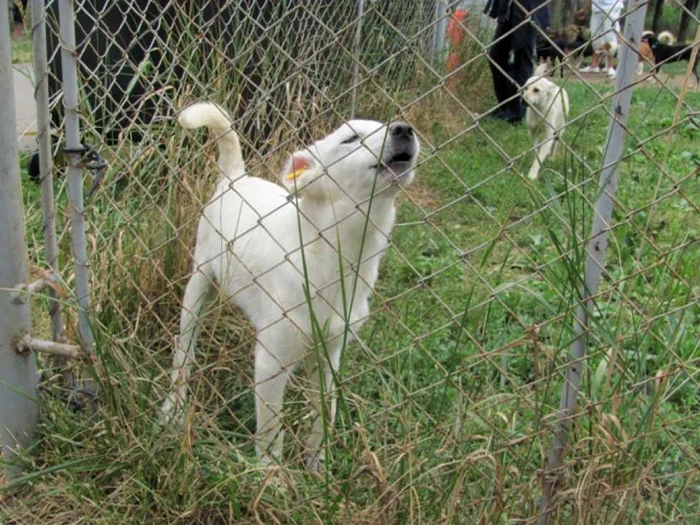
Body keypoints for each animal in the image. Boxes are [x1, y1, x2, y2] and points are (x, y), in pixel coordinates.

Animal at [160, 101, 422, 466]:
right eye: (350, 139)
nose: (405, 129)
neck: (334, 256)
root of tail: (235, 179)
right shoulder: (271, 363)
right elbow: (272, 433)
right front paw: (270, 474)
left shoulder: (329, 358)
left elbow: (323, 417)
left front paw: (317, 467)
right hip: (198, 286)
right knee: (183, 352)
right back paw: (173, 408)